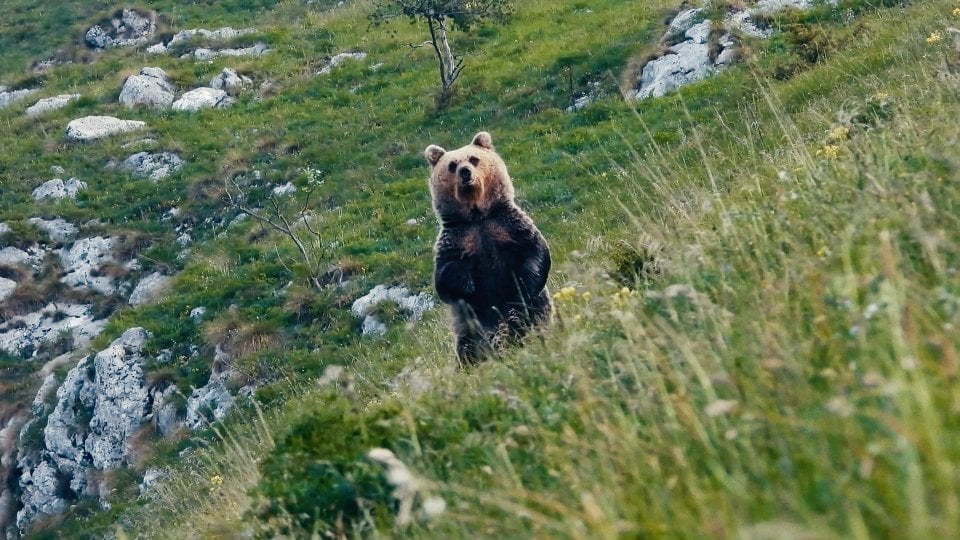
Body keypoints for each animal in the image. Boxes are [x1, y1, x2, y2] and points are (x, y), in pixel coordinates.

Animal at [424, 133, 552, 364]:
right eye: (452, 165)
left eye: (473, 159)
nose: (465, 172)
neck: (477, 216)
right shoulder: (457, 239)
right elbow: (444, 280)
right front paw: (466, 283)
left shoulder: (508, 226)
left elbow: (536, 253)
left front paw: (522, 285)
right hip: (470, 329)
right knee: (469, 348)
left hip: (538, 312)